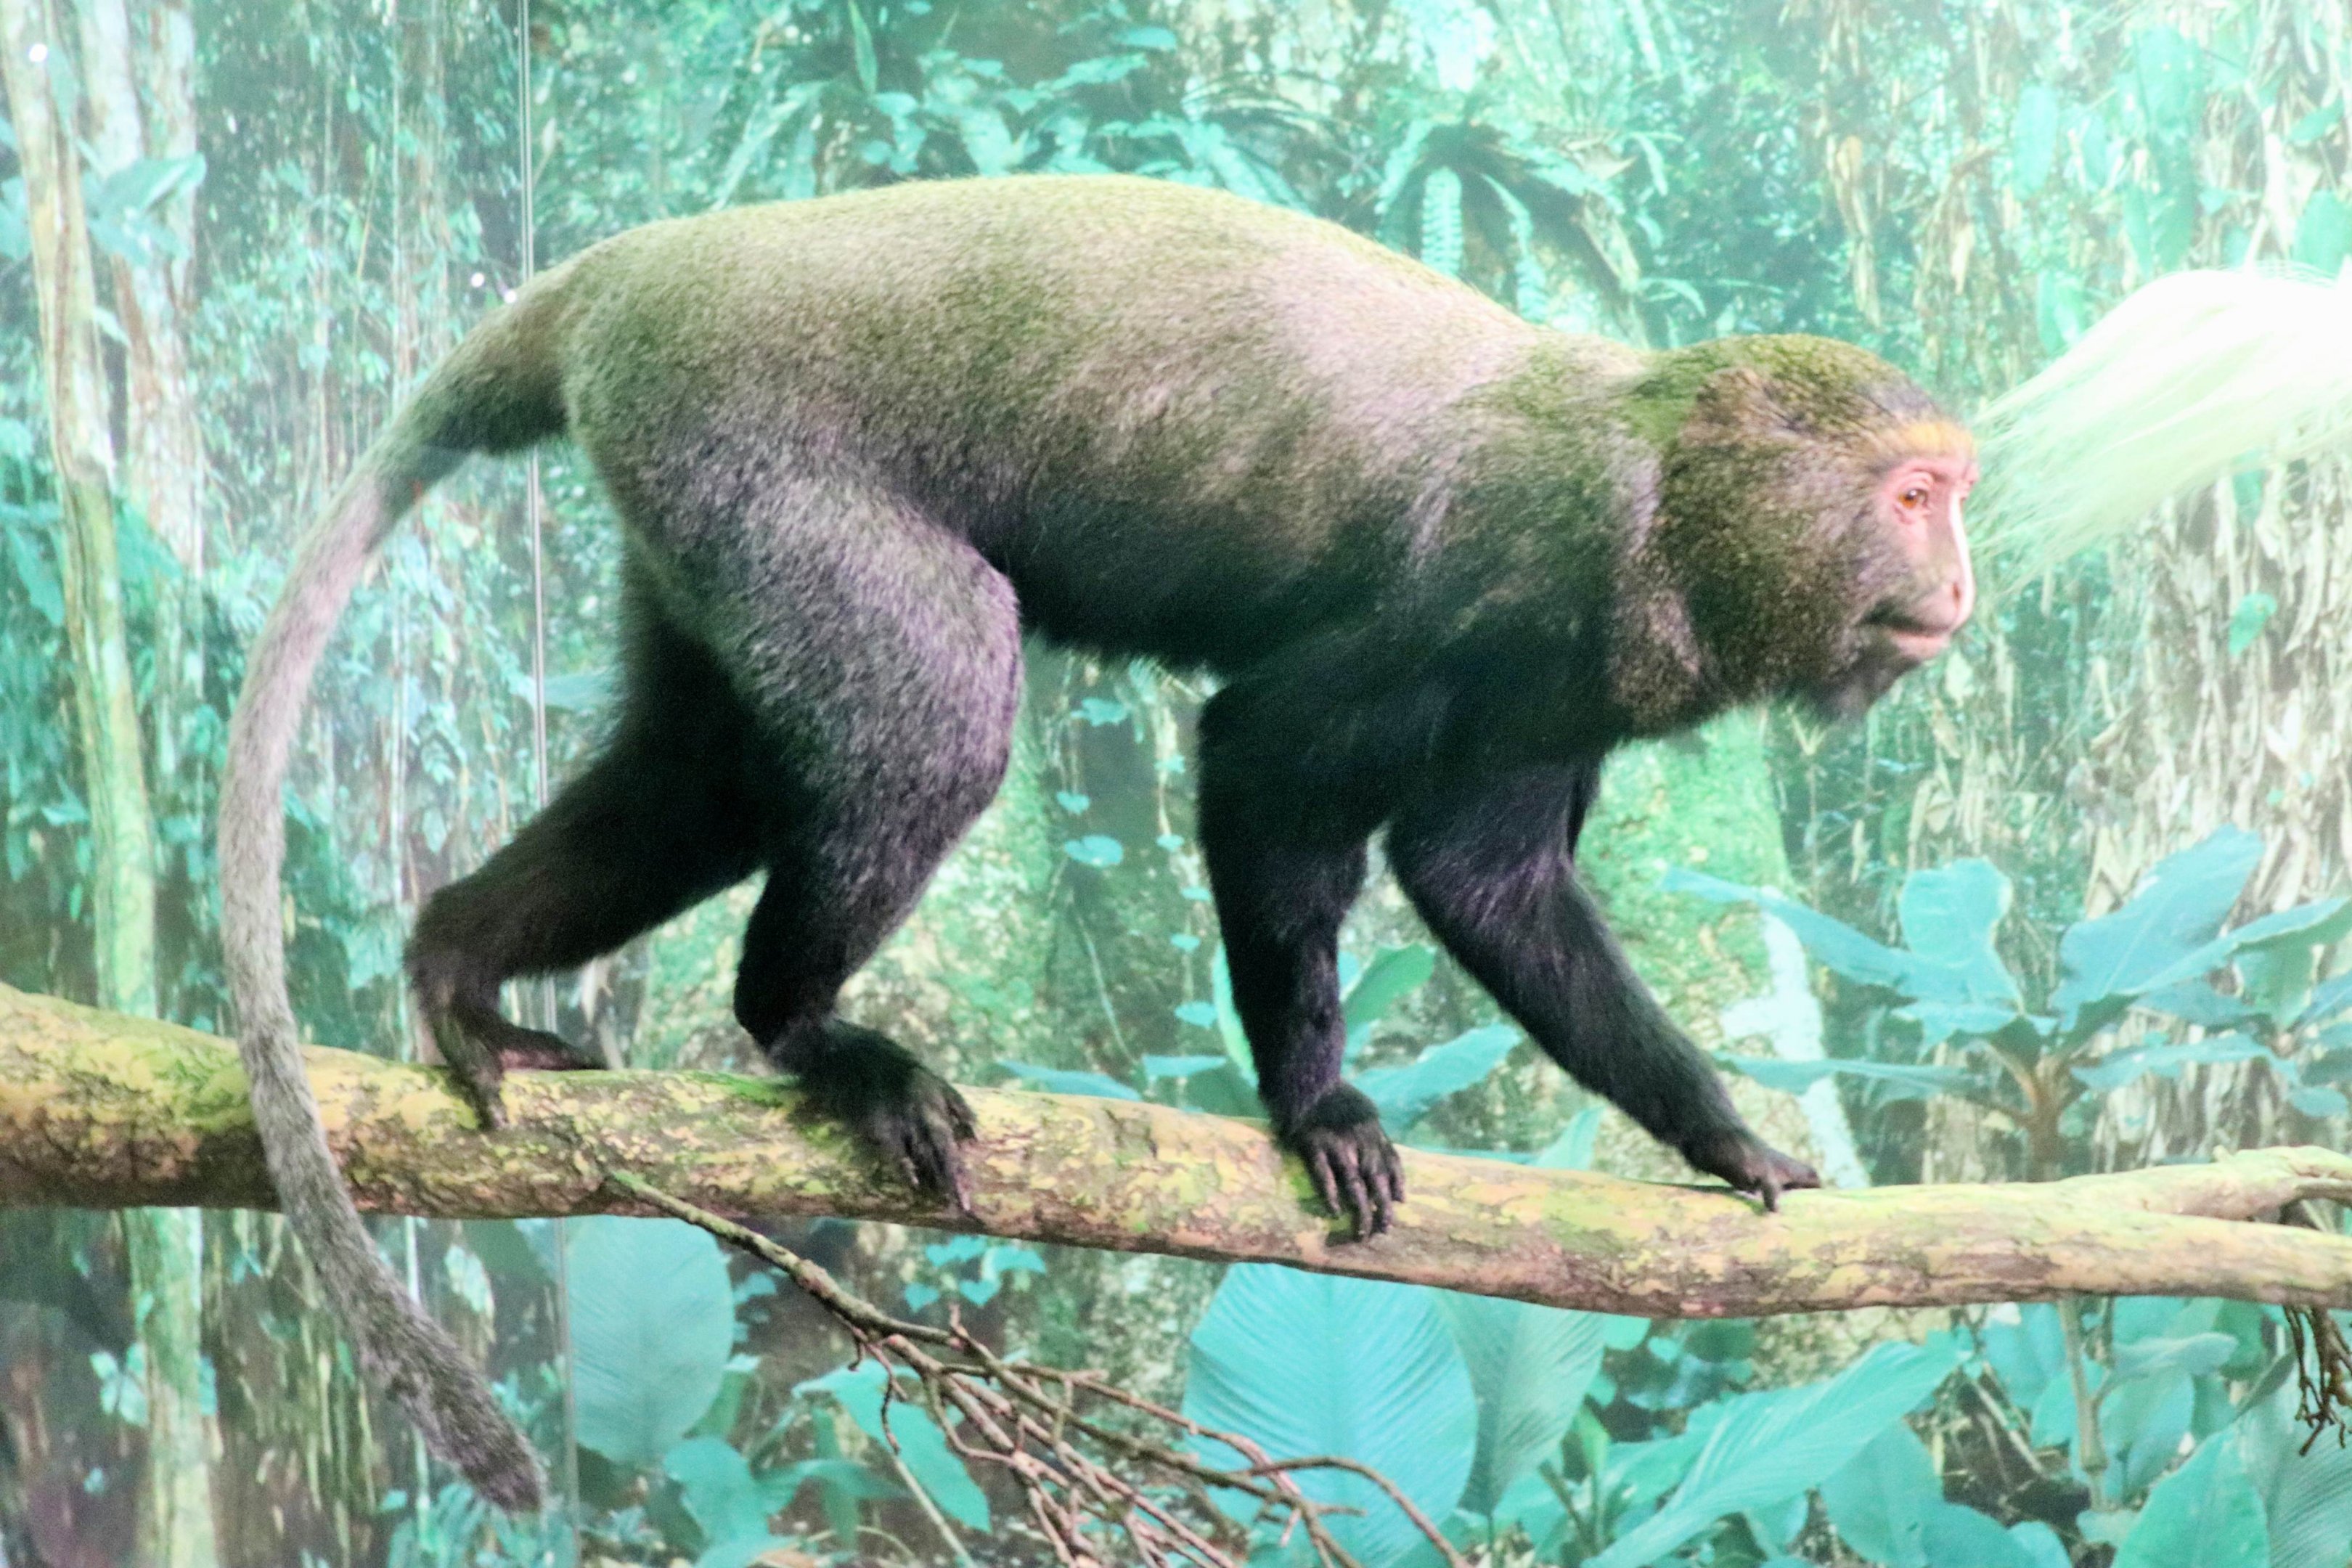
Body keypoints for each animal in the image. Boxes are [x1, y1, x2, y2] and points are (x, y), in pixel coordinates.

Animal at [218, 173, 1976, 1507]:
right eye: (1912, 498)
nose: (1960, 583)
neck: (1658, 493)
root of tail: (630, 270)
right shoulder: (1497, 577)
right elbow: (1263, 763)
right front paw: (1316, 1104)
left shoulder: (1567, 671)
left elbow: (1492, 886)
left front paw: (1718, 1135)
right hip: (757, 464)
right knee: (932, 715)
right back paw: (799, 1025)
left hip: (694, 512)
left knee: (701, 776)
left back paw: (462, 956)